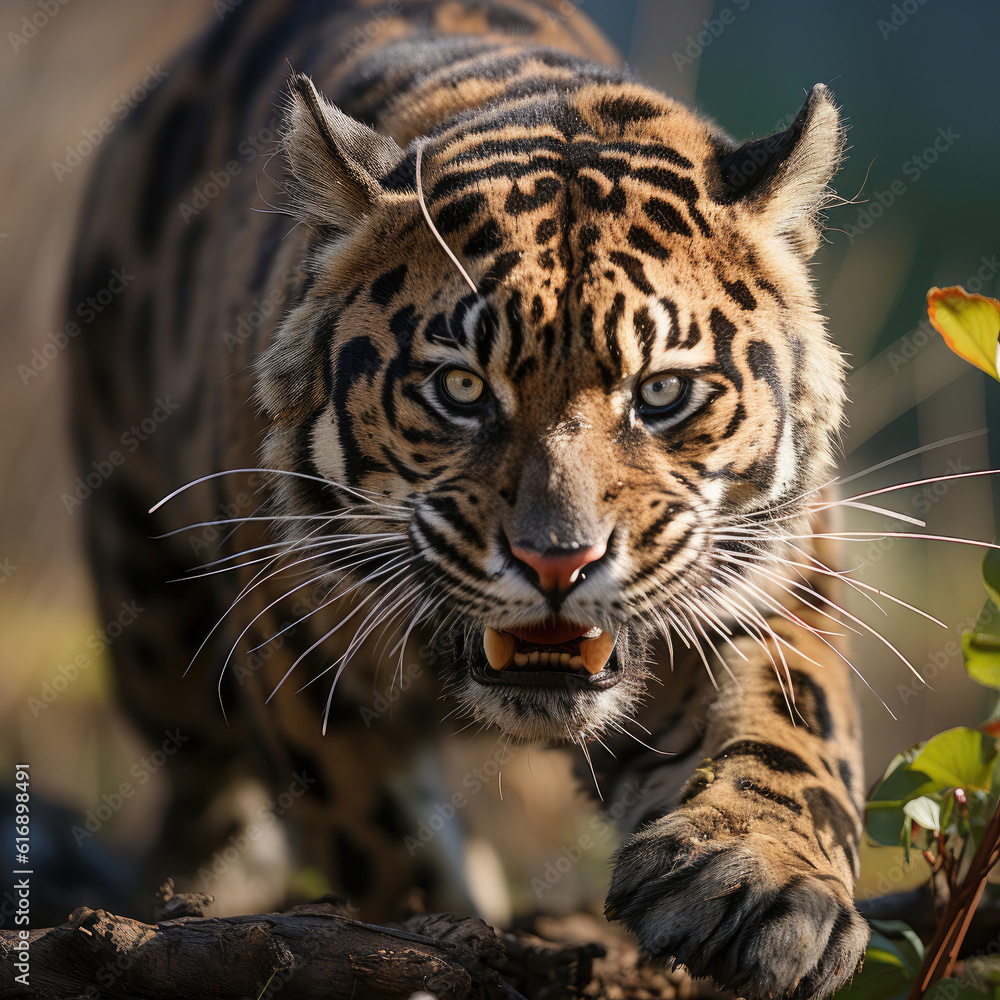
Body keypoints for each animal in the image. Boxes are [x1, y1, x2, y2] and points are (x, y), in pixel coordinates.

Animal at [68, 0, 868, 996]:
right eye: (460, 389)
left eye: (661, 394)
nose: (558, 562)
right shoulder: (296, 651)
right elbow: (379, 842)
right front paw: (430, 939)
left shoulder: (765, 580)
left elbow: (793, 727)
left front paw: (765, 886)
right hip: (150, 614)